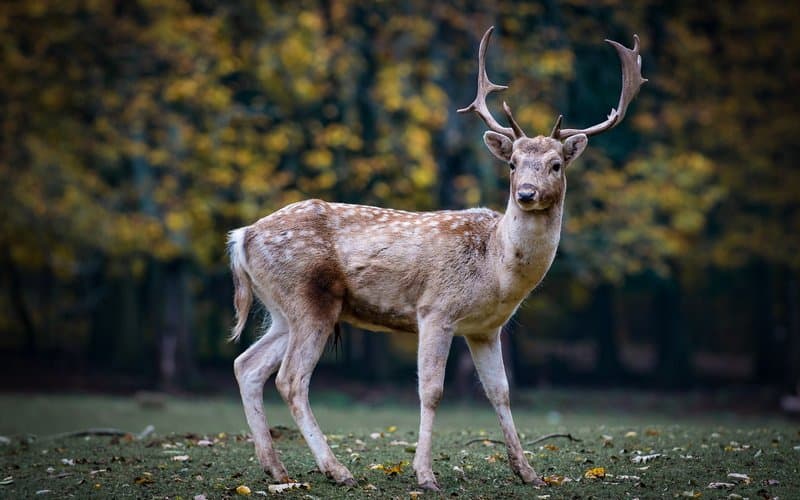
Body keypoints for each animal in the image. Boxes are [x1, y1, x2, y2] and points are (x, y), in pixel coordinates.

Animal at [230, 25, 644, 490]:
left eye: (556, 164)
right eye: (513, 163)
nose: (525, 193)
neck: (495, 269)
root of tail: (241, 236)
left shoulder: (485, 329)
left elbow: (500, 391)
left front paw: (529, 472)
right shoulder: (435, 310)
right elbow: (432, 391)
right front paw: (425, 474)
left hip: (281, 309)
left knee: (247, 365)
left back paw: (276, 468)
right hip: (308, 299)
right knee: (290, 379)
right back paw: (337, 470)